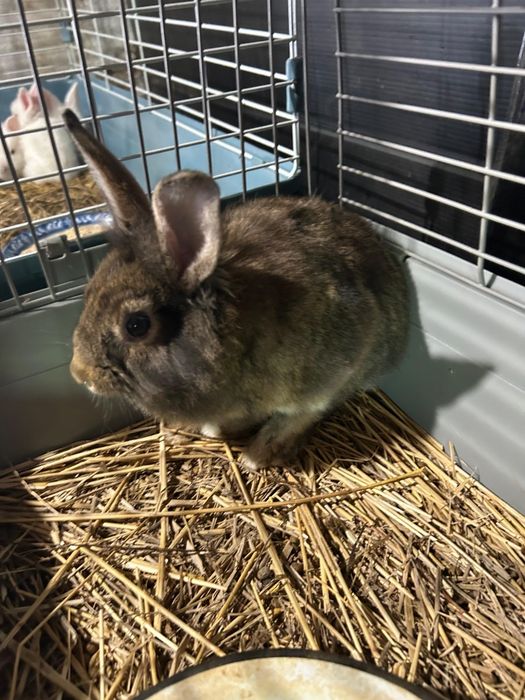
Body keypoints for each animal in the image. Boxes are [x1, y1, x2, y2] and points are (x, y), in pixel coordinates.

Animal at [65, 109, 409, 471]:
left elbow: (301, 415)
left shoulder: (332, 371)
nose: (79, 373)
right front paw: (209, 430)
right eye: (89, 292)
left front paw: (258, 455)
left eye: (136, 325)